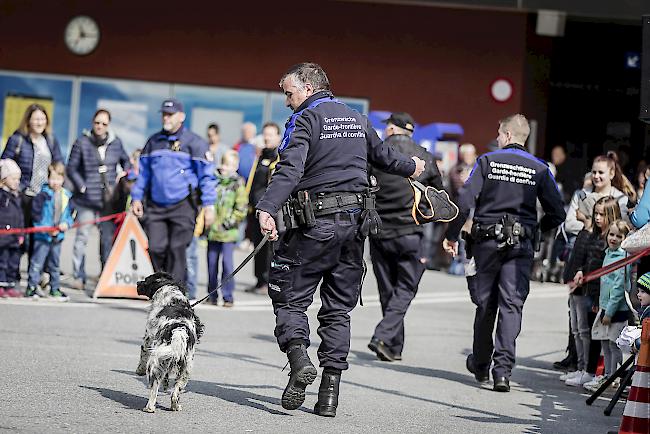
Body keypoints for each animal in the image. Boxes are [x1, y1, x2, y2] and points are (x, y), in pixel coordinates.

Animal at [132, 272, 201, 412]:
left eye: (146, 280)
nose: (137, 283)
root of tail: (179, 330)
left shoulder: (148, 338)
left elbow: (142, 355)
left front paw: (139, 370)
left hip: (155, 363)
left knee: (154, 388)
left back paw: (149, 408)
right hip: (185, 369)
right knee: (175, 392)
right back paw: (175, 406)